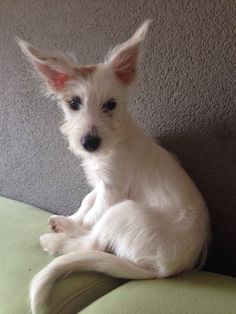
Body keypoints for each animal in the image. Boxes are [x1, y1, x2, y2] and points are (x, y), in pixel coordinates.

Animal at [18, 20, 210, 314]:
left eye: (110, 105)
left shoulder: (113, 190)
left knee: (92, 243)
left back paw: (56, 241)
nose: (89, 143)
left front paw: (73, 226)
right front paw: (71, 218)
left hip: (124, 212)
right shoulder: (99, 184)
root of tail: (166, 270)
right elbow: (86, 204)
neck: (114, 140)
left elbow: (91, 217)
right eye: (73, 103)